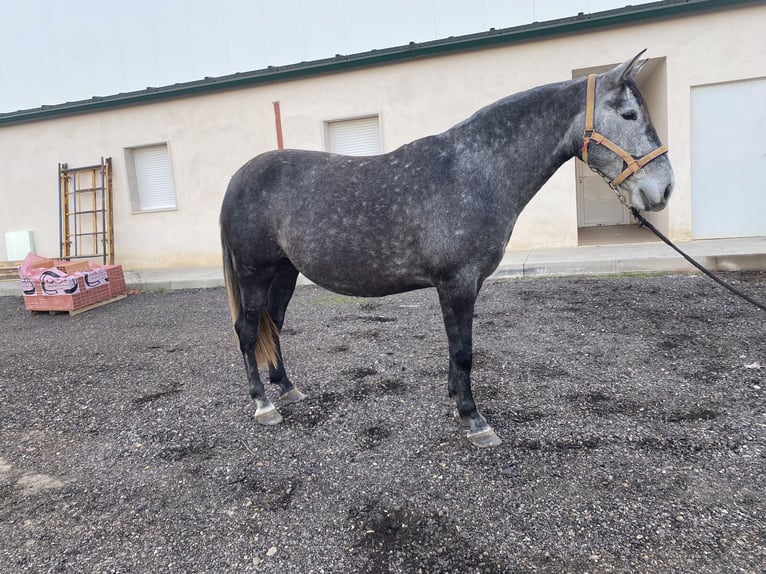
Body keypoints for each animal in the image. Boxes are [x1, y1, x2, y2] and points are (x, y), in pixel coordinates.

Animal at [220, 51, 672, 448]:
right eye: (629, 115)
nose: (664, 189)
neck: (473, 172)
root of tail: (238, 178)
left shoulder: (465, 284)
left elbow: (457, 350)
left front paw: (457, 403)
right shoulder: (456, 282)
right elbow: (464, 350)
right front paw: (475, 421)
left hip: (284, 271)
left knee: (274, 324)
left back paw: (288, 388)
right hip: (254, 271)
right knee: (248, 330)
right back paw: (264, 404)